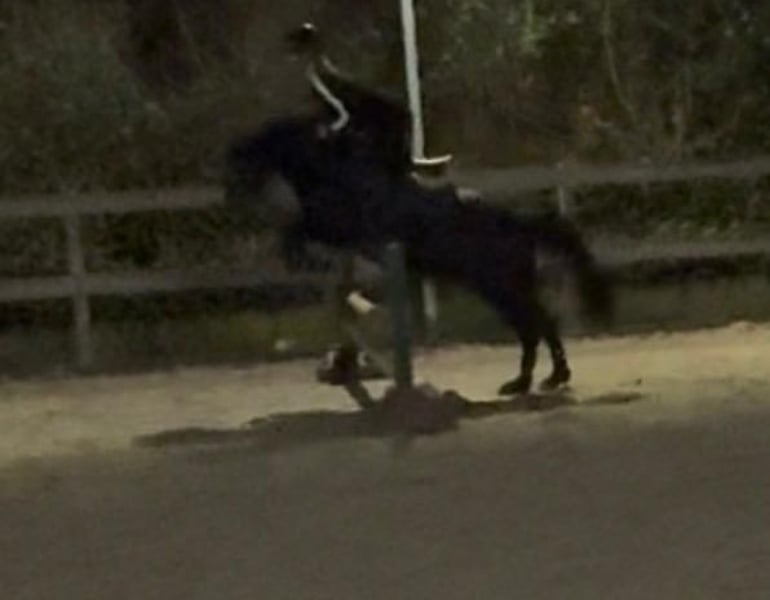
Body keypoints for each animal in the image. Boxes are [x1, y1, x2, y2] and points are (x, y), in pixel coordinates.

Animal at [223, 113, 614, 395]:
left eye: (239, 166)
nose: (232, 202)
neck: (334, 172)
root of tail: (518, 225)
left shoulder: (335, 225)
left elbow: (298, 227)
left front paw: (292, 253)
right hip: (504, 290)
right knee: (538, 326)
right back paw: (535, 381)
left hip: (502, 289)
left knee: (536, 327)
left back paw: (537, 381)